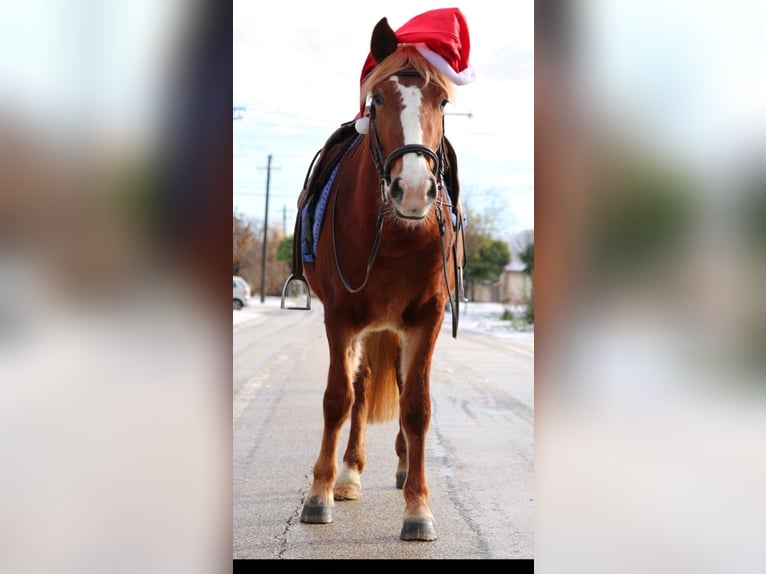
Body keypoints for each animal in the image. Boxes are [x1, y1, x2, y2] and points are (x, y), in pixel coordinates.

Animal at [286, 14, 464, 544]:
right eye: (379, 99)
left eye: (441, 101)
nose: (414, 188)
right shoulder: (341, 317)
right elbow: (338, 398)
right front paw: (319, 493)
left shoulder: (427, 318)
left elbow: (417, 405)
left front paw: (419, 508)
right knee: (361, 389)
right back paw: (348, 473)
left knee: (402, 387)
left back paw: (405, 469)